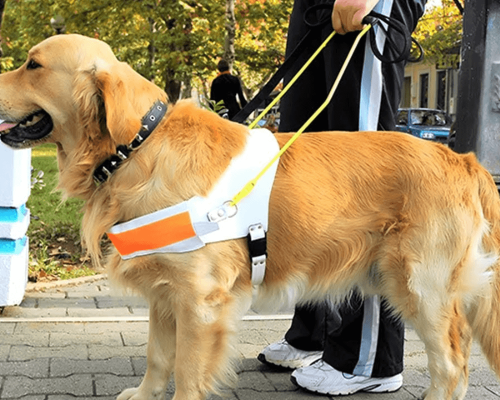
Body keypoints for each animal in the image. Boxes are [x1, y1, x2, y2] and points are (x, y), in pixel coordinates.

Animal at [0, 34, 500, 400]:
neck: (137, 149)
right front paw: (144, 395)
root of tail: (462, 158)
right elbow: (157, 357)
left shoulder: (200, 301)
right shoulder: (164, 291)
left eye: (33, 65)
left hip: (421, 285)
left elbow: (186, 371)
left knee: (452, 363)